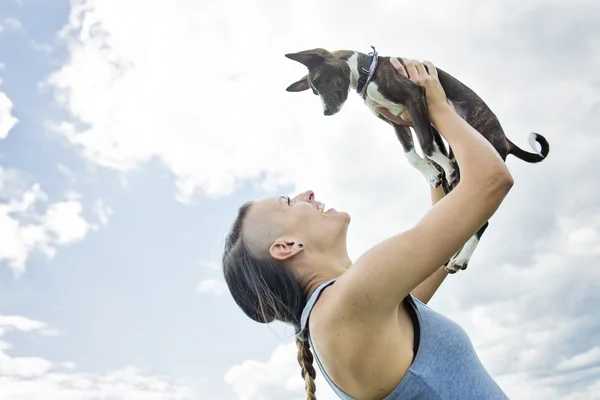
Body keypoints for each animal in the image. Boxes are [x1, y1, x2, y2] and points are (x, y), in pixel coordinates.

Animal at [284, 46, 552, 272]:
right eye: (314, 89)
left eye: (319, 81)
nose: (326, 113)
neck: (367, 73)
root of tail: (504, 139)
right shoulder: (398, 122)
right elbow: (413, 153)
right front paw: (432, 173)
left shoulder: (415, 97)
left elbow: (426, 145)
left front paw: (442, 168)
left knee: (482, 221)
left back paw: (461, 258)